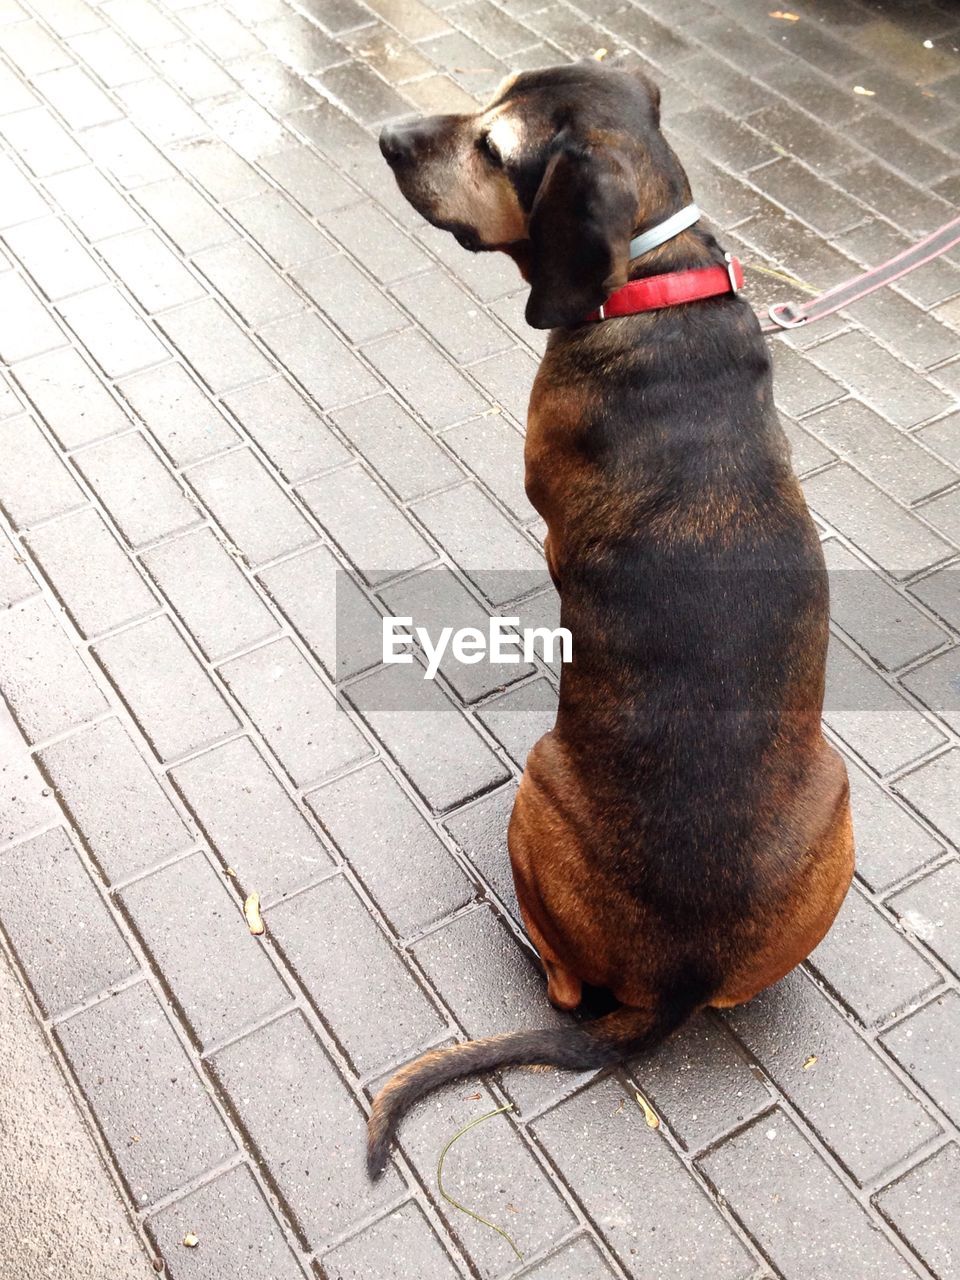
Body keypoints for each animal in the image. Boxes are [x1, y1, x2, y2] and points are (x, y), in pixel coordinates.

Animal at [368, 62, 855, 1177]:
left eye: (493, 148)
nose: (387, 135)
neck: (652, 273)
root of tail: (677, 979)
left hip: (535, 787)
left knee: (564, 986)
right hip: (838, 799)